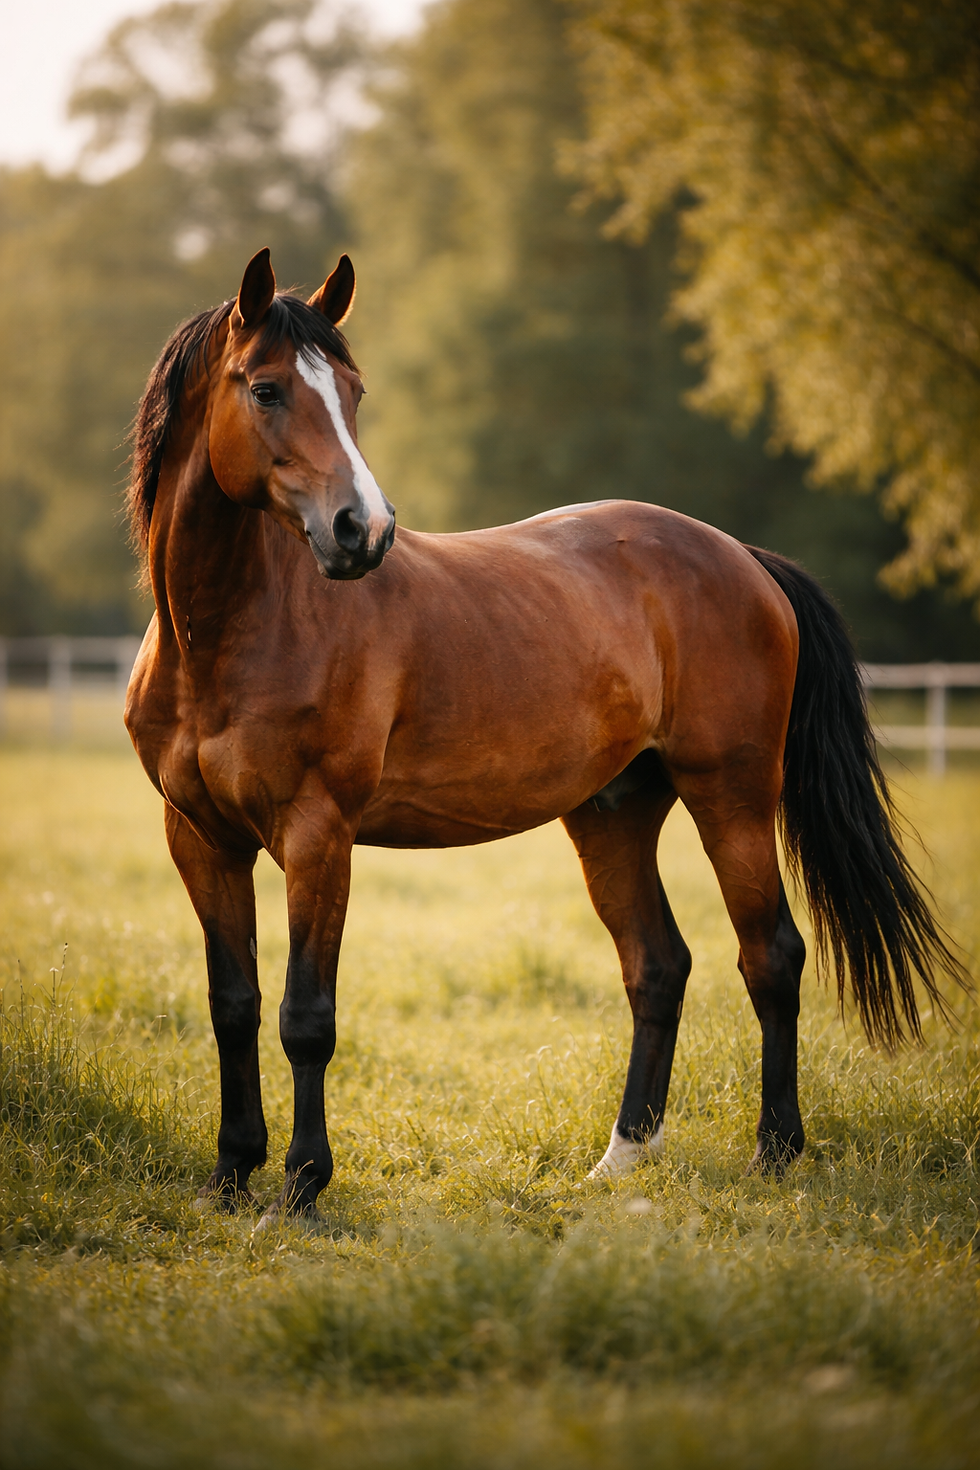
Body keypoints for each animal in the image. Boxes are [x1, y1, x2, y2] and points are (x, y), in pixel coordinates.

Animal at [125, 246, 964, 1226]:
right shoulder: (200, 838)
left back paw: (775, 1152)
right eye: (264, 389)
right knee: (658, 965)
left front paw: (299, 1187)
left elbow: (306, 1017)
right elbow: (234, 1004)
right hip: (613, 813)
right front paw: (230, 1174)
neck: (226, 635)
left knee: (771, 956)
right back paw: (621, 1159)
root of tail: (743, 558)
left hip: (733, 797)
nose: (362, 531)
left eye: (354, 390)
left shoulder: (316, 836)